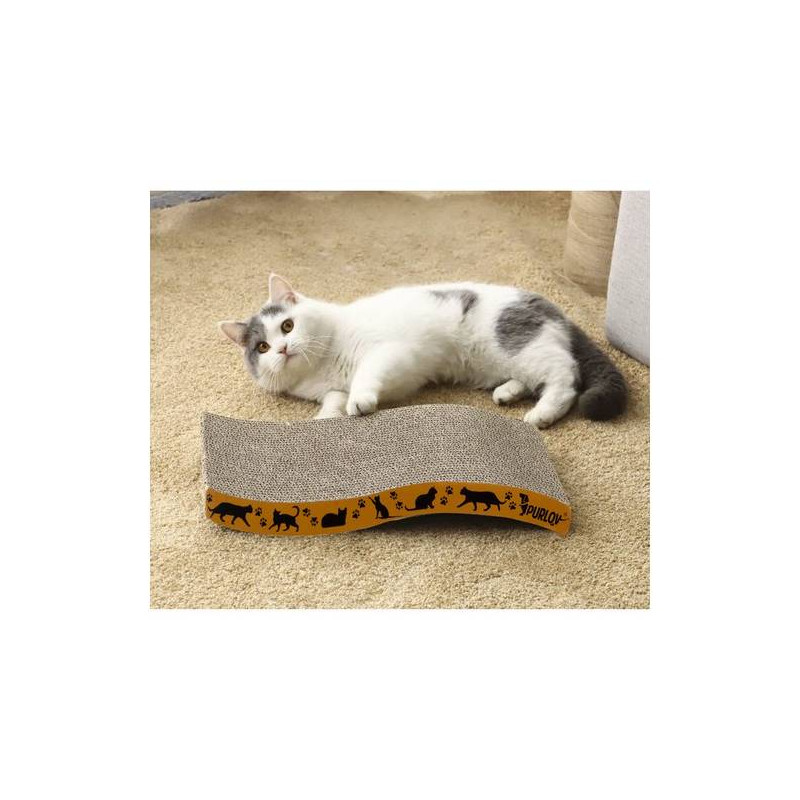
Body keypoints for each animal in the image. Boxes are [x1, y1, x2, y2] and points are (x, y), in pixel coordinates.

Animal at [219, 273, 627, 428]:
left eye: (287, 326)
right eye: (262, 346)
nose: (283, 348)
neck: (325, 363)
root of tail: (551, 307)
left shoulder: (385, 353)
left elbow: (363, 378)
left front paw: (359, 401)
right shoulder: (330, 388)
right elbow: (333, 400)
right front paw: (325, 419)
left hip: (520, 348)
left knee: (565, 377)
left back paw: (540, 415)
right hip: (501, 363)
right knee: (532, 380)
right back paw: (507, 393)